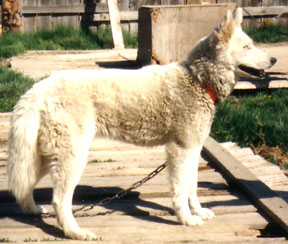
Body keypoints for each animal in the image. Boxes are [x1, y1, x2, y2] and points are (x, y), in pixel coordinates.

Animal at [7, 8, 276, 240]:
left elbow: (192, 186)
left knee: (24, 186)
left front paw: (198, 212)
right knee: (59, 200)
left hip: (46, 156)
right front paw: (186, 219)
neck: (197, 79)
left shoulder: (194, 149)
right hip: (72, 157)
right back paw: (76, 233)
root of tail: (39, 88)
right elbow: (181, 190)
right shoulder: (181, 150)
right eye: (246, 47)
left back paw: (34, 211)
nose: (274, 59)